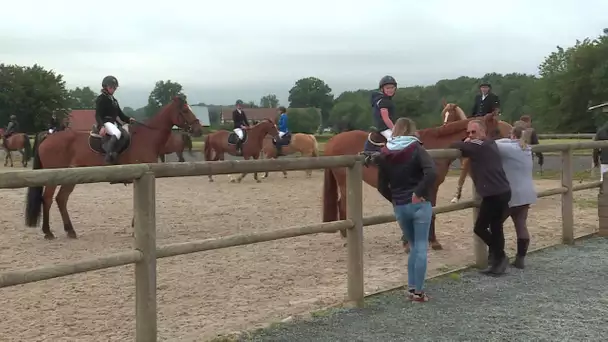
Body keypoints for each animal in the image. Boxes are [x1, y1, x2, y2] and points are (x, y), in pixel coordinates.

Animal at [23, 95, 204, 240]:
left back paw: (70, 231)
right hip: (53, 177)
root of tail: (48, 137)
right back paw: (48, 232)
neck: (147, 137)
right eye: (185, 110)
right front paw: (135, 228)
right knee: (47, 199)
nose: (199, 129)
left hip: (70, 176)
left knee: (61, 199)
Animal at [320, 113, 502, 250]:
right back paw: (346, 238)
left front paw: (429, 240)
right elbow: (429, 212)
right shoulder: (427, 187)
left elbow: (430, 211)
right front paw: (428, 241)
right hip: (344, 181)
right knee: (343, 205)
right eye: (497, 130)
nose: (498, 149)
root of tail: (333, 141)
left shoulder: (431, 187)